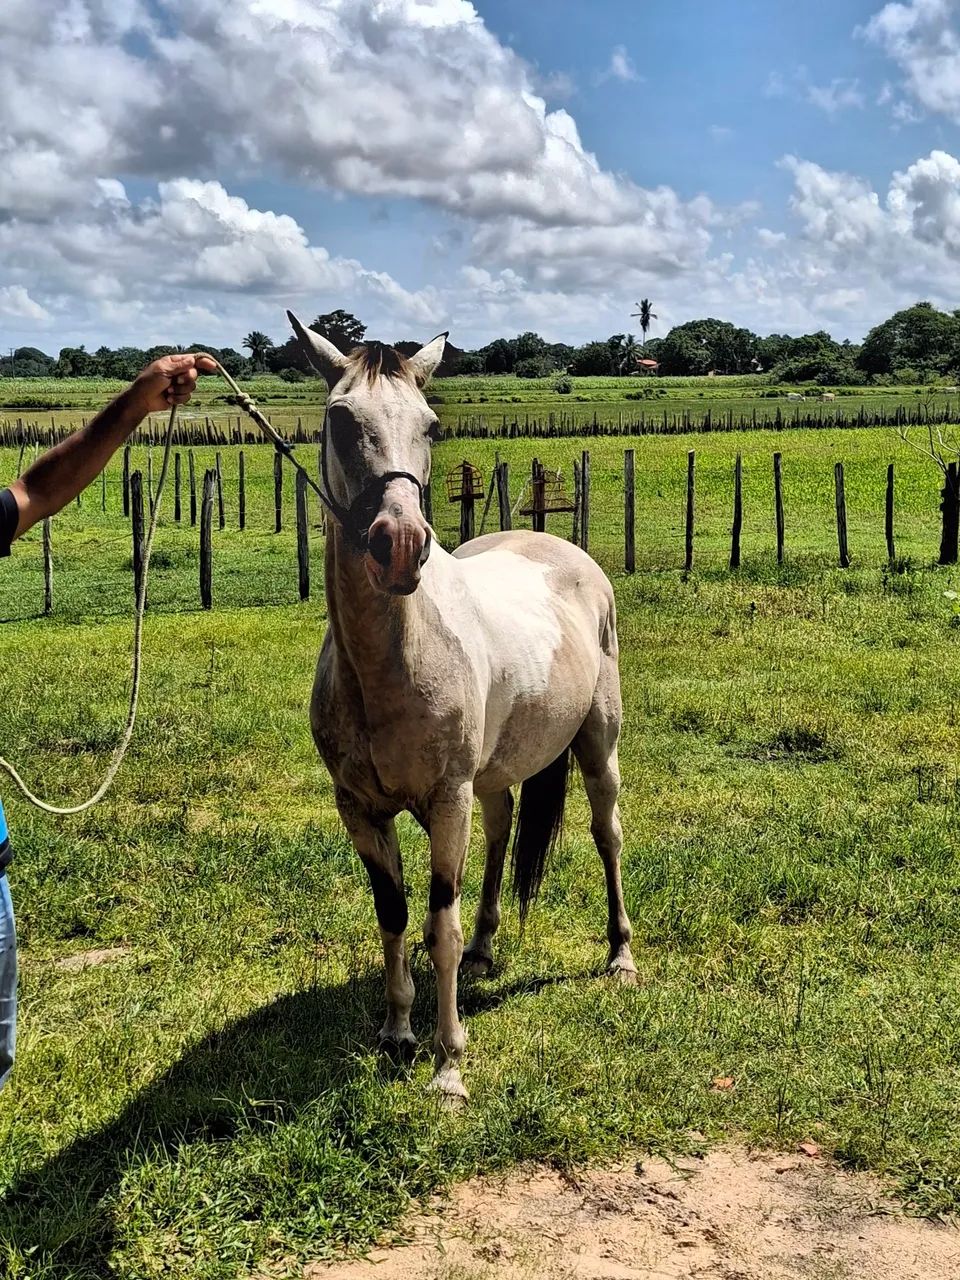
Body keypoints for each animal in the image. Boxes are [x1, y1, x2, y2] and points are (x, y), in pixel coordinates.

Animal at [288, 312, 636, 1102]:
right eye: (340, 420)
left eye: (431, 424)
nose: (400, 543)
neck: (388, 664)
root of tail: (559, 545)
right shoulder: (360, 810)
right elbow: (394, 917)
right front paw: (397, 1032)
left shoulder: (447, 802)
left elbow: (435, 928)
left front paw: (448, 1066)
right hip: (494, 775)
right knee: (503, 832)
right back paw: (484, 945)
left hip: (598, 746)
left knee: (607, 834)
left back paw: (620, 955)